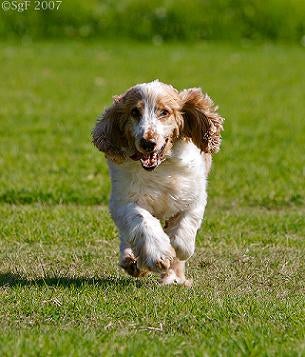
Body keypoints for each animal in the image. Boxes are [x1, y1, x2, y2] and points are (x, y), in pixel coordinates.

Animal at [91, 80, 222, 284]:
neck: (160, 167)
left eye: (164, 112)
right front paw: (159, 255)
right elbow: (141, 220)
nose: (147, 142)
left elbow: (185, 227)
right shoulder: (123, 201)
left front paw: (177, 251)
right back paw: (131, 261)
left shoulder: (194, 195)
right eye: (135, 112)